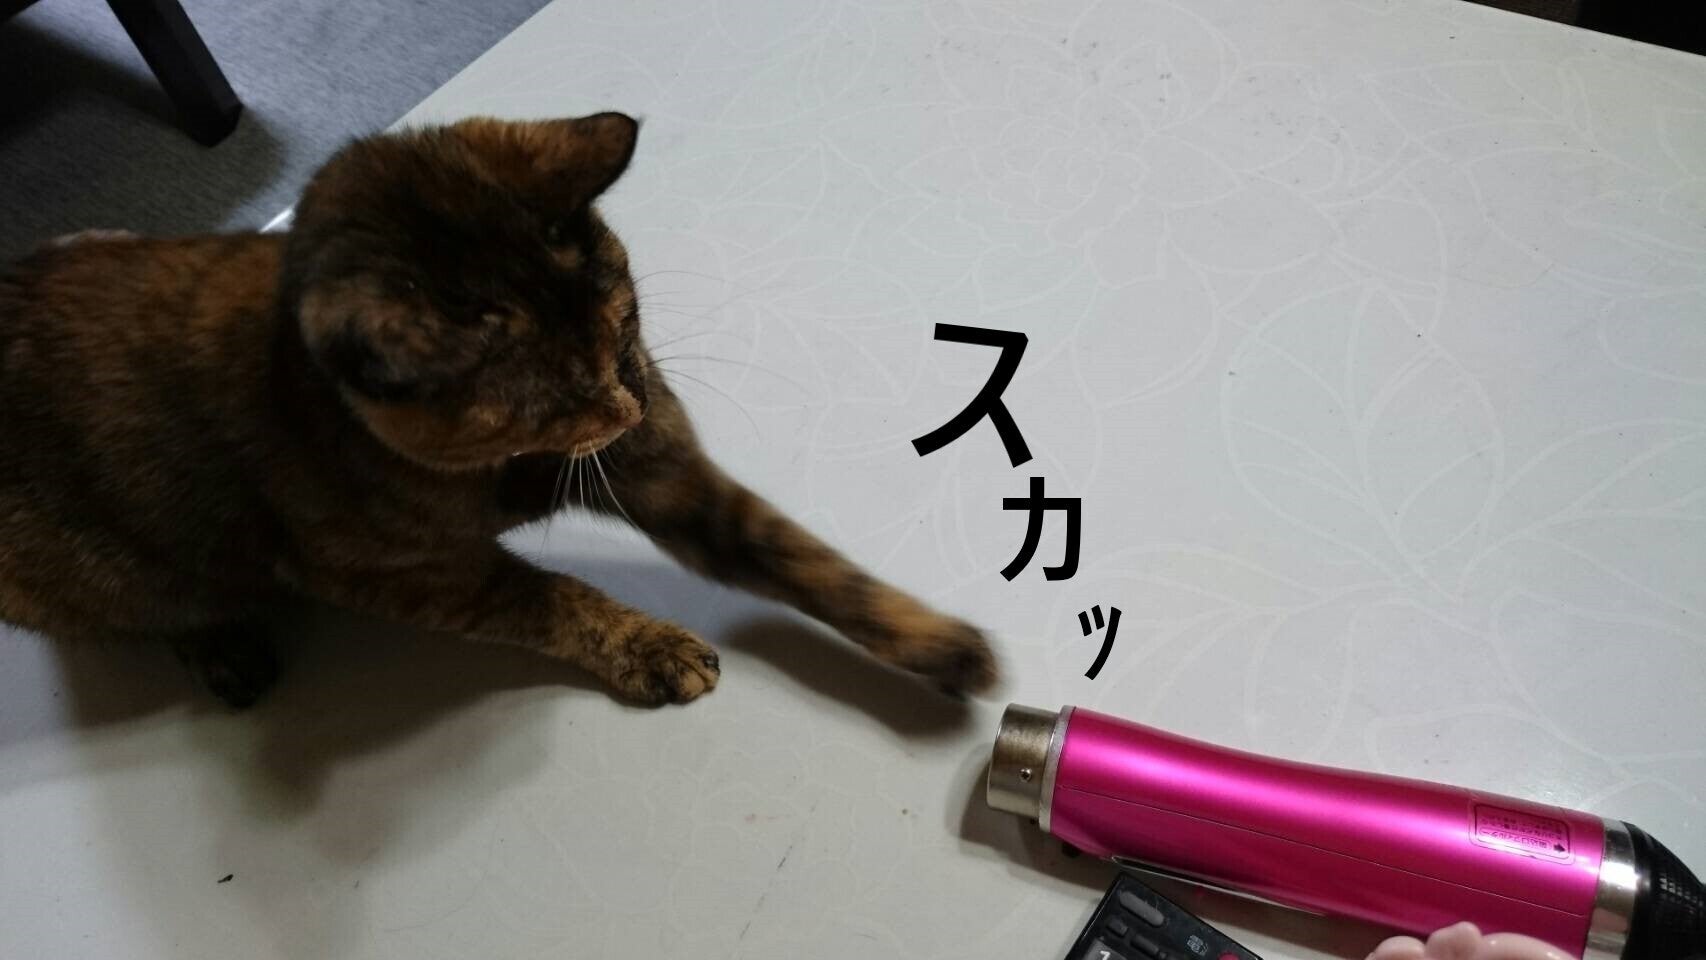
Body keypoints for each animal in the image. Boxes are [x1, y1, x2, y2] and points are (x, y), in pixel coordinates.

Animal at [0, 112, 998, 708]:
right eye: (555, 403)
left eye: (626, 325)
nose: (636, 400)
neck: (502, 474)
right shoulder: (407, 576)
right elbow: (548, 597)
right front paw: (649, 647)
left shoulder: (661, 470)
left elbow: (795, 554)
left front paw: (941, 646)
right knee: (154, 609)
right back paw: (223, 650)